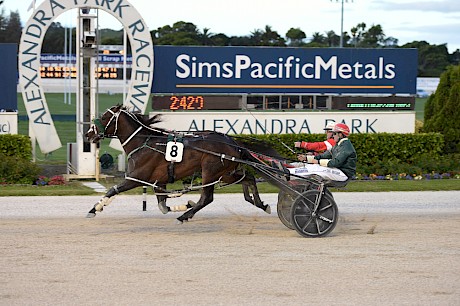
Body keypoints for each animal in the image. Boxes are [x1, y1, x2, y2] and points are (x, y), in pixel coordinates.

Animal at [84, 104, 282, 222]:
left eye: (104, 117)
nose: (88, 134)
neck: (144, 143)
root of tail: (234, 142)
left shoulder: (136, 178)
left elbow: (112, 190)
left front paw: (94, 209)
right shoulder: (159, 182)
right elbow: (163, 207)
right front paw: (186, 204)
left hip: (210, 171)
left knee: (207, 197)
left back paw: (185, 216)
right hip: (225, 173)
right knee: (248, 178)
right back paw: (260, 204)